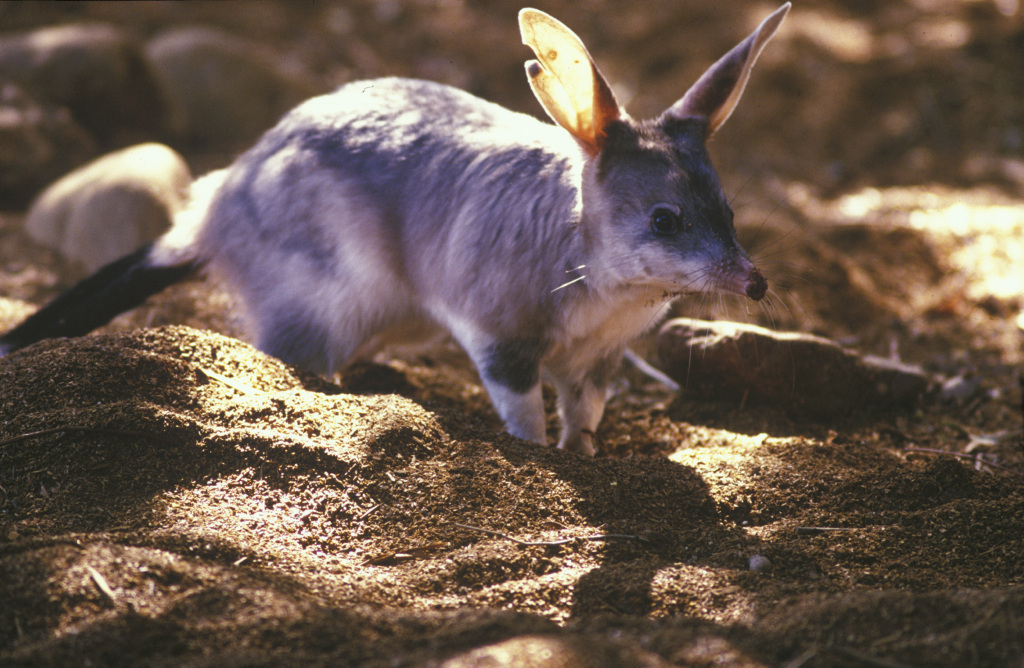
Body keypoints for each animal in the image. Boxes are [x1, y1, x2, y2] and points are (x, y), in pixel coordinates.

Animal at [0, 4, 790, 455]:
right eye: (665, 219)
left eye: (727, 209)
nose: (755, 284)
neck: (595, 269)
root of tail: (212, 211)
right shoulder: (499, 337)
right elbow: (523, 411)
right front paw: (539, 456)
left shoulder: (601, 357)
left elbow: (584, 413)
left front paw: (585, 456)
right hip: (324, 300)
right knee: (292, 358)